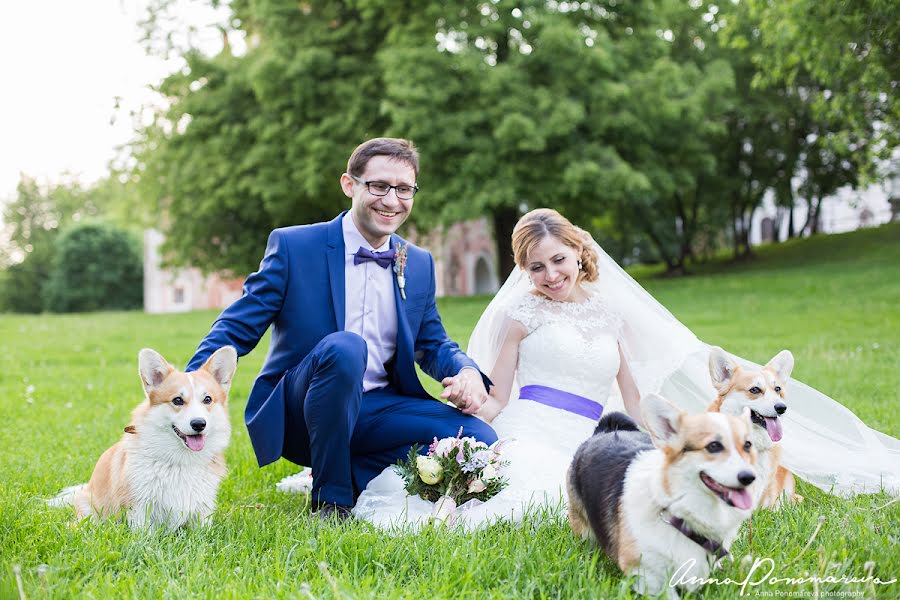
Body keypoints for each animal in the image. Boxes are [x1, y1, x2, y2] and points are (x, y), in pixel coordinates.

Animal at [49, 346, 237, 528]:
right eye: (177, 400)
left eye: (207, 399)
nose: (199, 424)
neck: (180, 461)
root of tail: (86, 487)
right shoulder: (139, 506)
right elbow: (144, 533)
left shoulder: (202, 508)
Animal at [568, 394, 760, 600]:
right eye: (714, 446)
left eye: (748, 445)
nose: (749, 477)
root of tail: (607, 429)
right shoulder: (647, 574)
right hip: (583, 528)